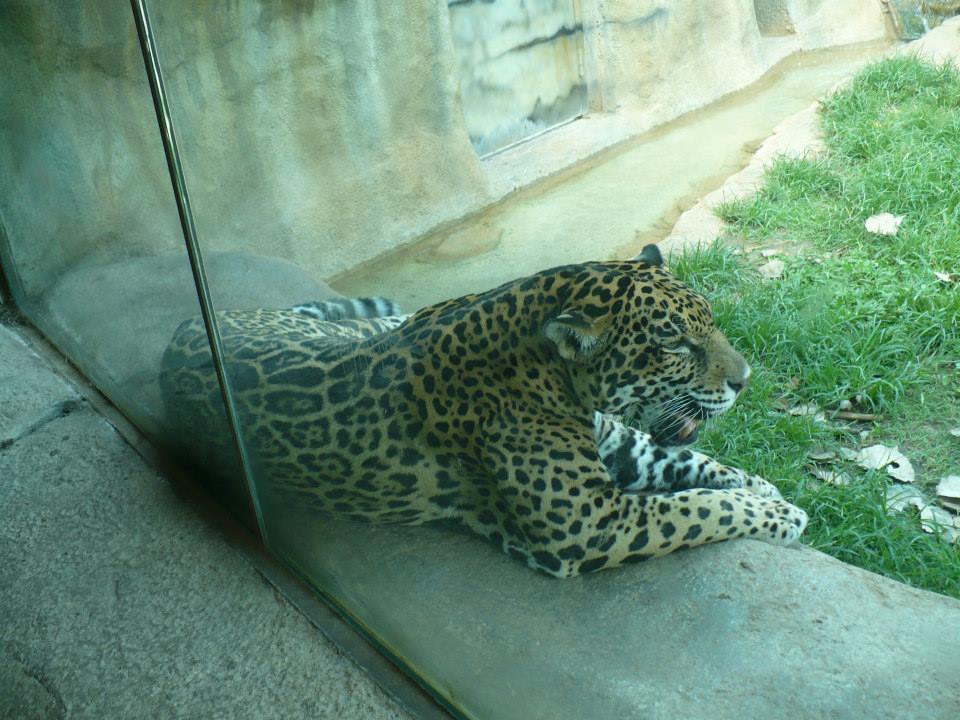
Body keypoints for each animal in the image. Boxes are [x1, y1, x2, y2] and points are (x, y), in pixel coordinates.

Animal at [160, 244, 807, 577]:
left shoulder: (620, 447)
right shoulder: (590, 524)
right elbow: (700, 508)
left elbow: (698, 467)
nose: (746, 381)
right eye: (675, 344)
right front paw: (779, 514)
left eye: (712, 322)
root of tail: (188, 328)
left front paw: (765, 489)